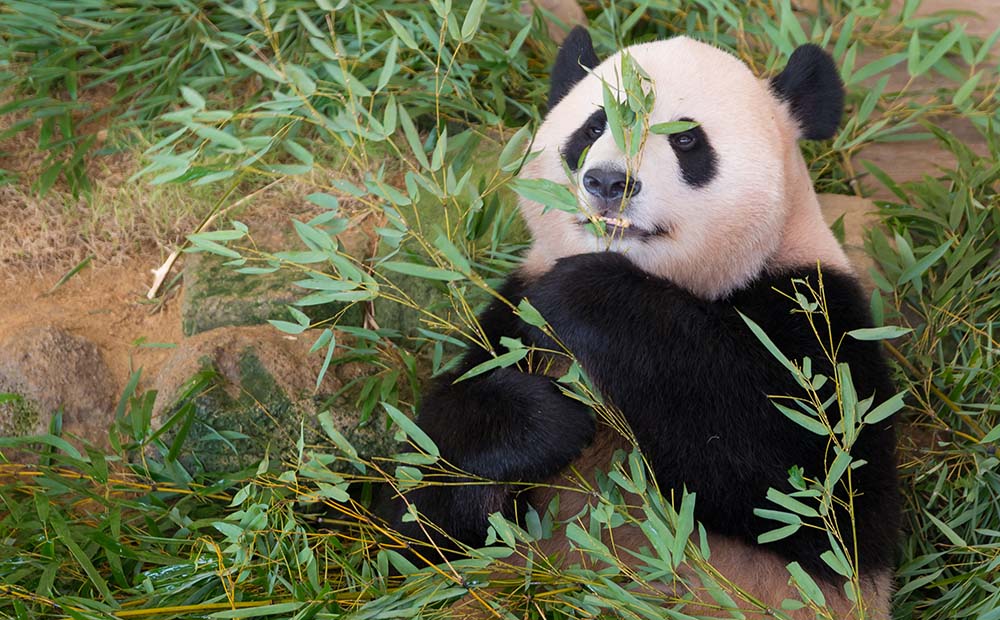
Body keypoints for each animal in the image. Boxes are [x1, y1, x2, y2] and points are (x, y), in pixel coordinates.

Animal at [386, 26, 904, 616]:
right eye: (593, 126)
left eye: (686, 140)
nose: (609, 183)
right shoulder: (509, 320)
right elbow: (416, 508)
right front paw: (548, 419)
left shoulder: (820, 318)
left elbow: (809, 486)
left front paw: (586, 293)